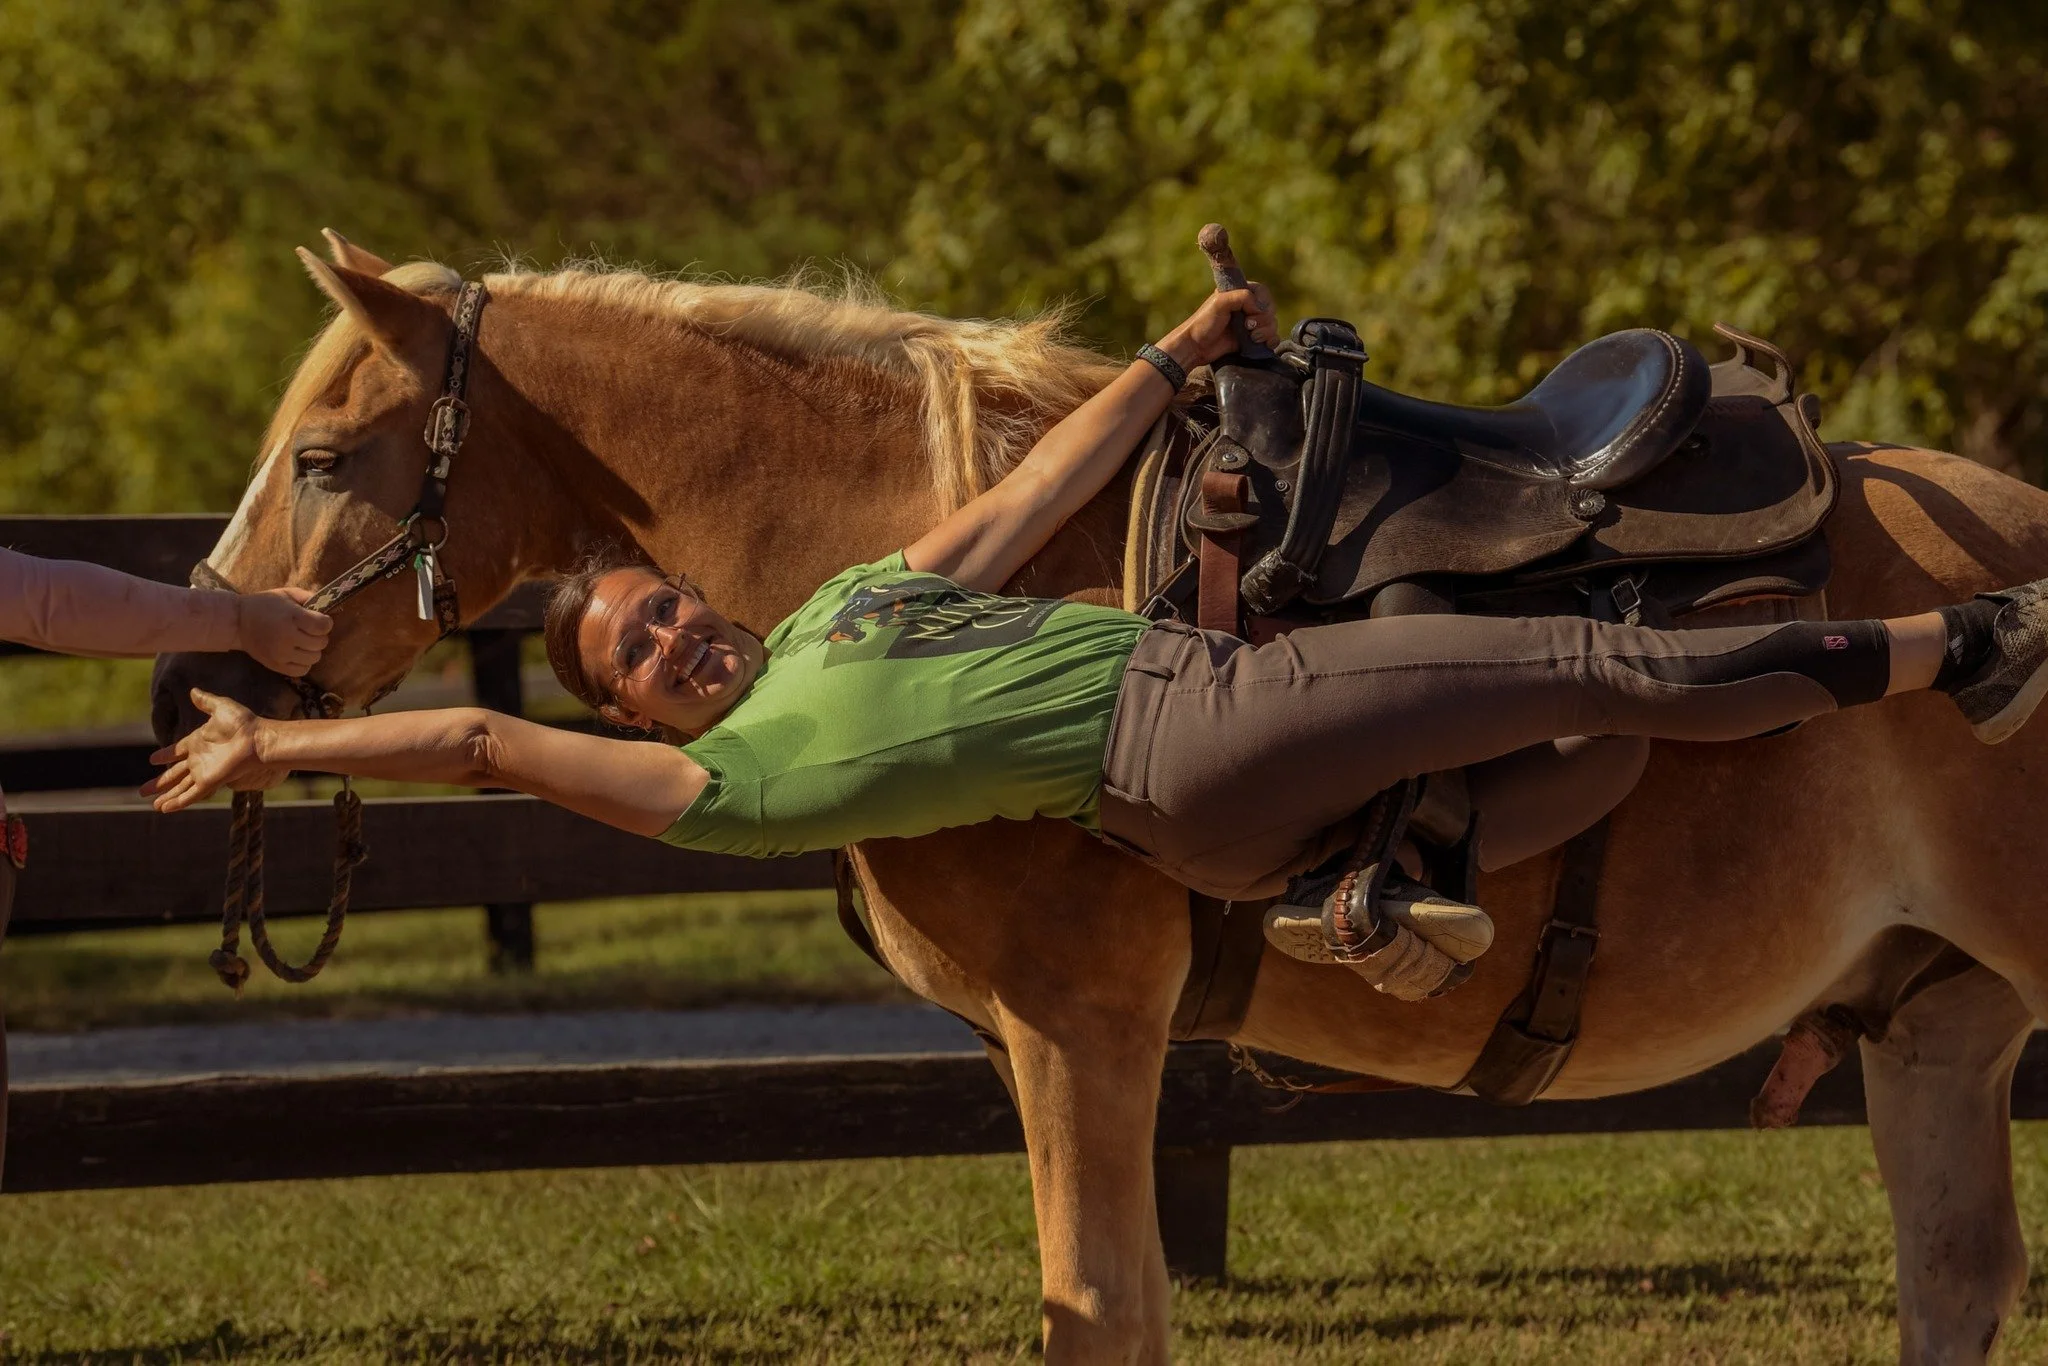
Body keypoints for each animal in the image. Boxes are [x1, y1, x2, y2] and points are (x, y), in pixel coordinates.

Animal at [150, 234, 2048, 1365]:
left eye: (321, 458)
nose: (212, 682)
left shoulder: (1084, 1027)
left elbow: (1098, 1311)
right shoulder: (1051, 1047)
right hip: (1936, 1023)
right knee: (1958, 1273)